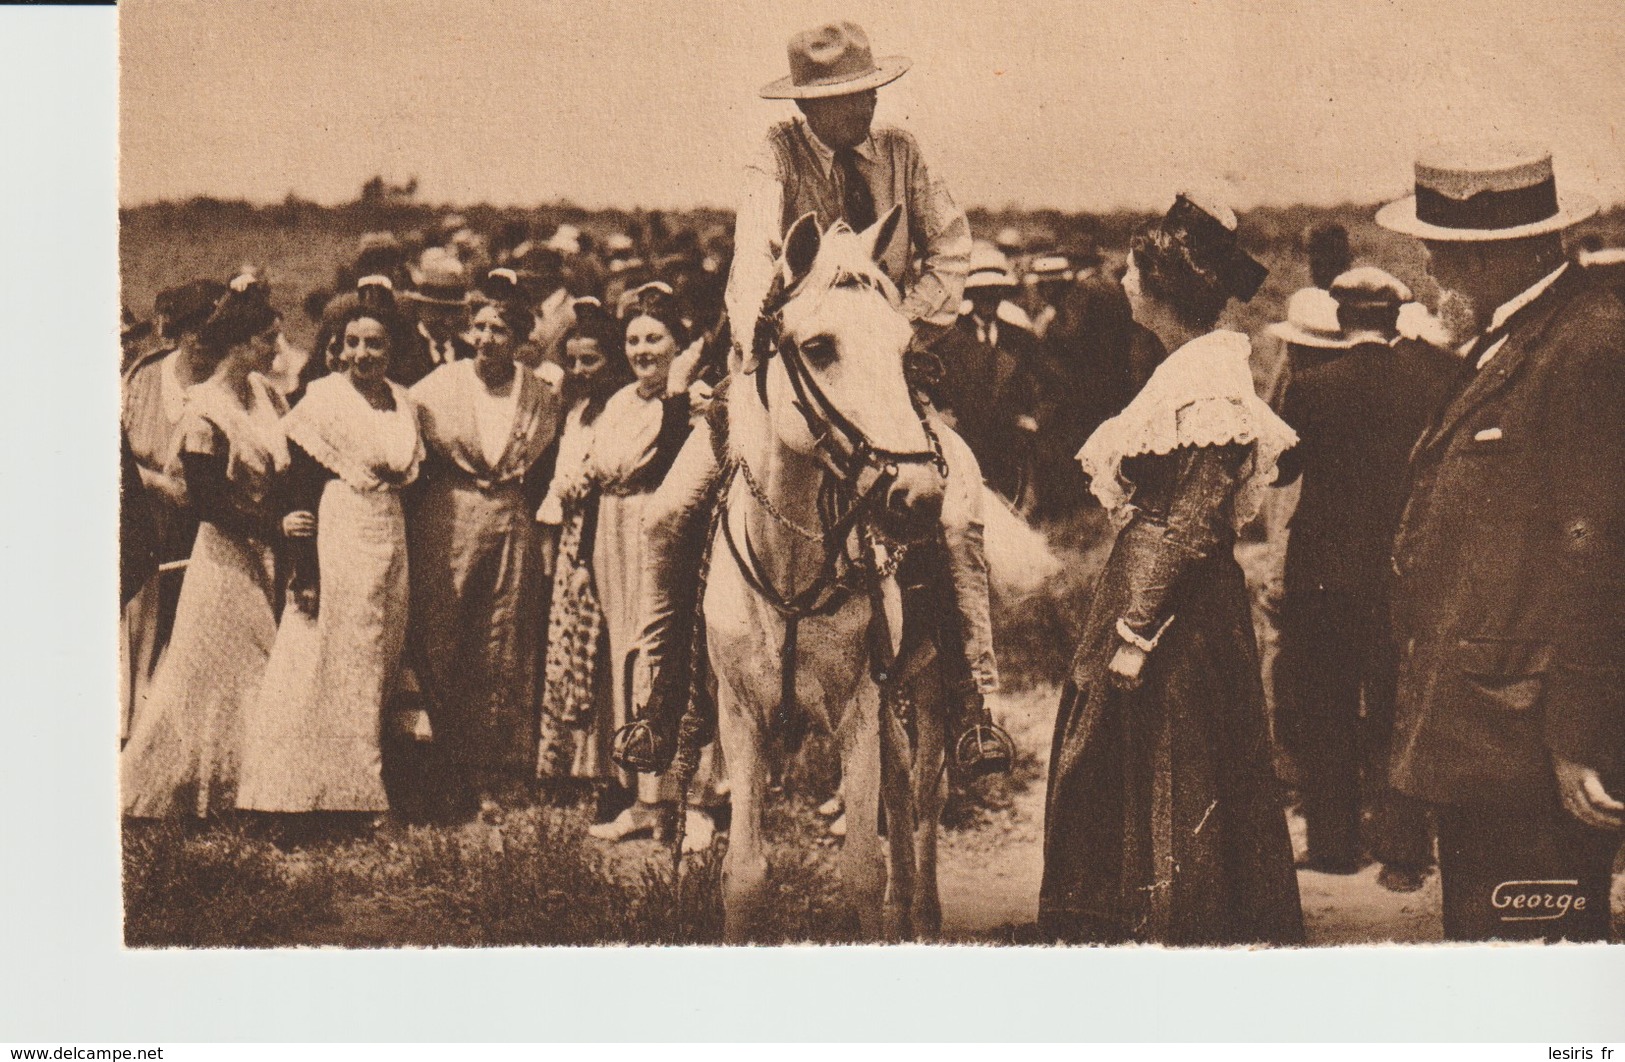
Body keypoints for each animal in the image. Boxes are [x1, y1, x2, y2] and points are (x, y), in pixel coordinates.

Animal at [708, 212, 949, 941]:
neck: (788, 577)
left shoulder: (856, 711)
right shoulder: (740, 716)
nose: (918, 497)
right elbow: (744, 874)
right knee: (902, 786)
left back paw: (923, 908)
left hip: (927, 683)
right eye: (817, 348)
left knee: (924, 790)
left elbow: (861, 872)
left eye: (905, 349)